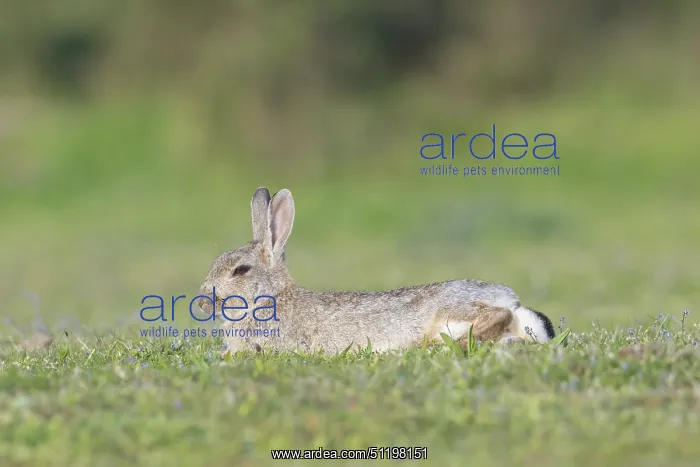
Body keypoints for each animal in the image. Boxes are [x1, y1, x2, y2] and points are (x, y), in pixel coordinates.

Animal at [196, 187, 556, 354]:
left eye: (240, 270)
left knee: (493, 316)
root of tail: (513, 300)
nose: (202, 300)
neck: (270, 299)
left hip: (451, 310)